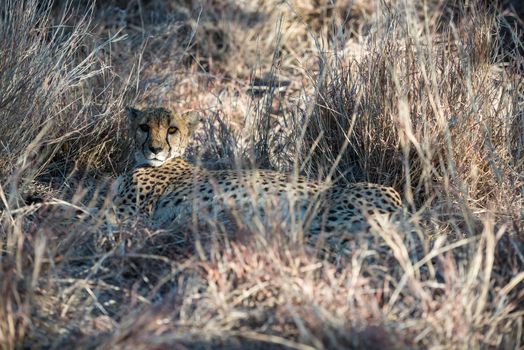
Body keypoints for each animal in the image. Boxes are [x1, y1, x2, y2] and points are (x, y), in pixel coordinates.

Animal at [110, 106, 404, 237]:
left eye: (172, 129)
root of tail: (399, 201)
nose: (155, 149)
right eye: (144, 127)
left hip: (327, 217)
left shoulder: (128, 214)